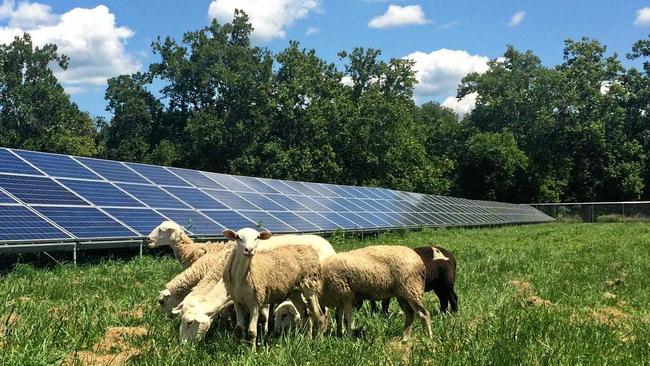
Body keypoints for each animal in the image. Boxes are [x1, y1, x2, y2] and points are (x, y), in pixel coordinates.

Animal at [172, 233, 334, 342]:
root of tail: (328, 245)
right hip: (295, 290)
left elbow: (261, 317)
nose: (184, 346)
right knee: (306, 312)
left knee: (321, 312)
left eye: (190, 322)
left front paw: (264, 335)